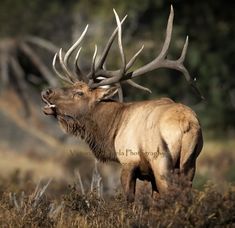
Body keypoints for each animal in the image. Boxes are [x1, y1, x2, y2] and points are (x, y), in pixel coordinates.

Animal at [42, 6, 204, 201]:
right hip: (190, 163)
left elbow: (129, 200)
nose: (47, 92)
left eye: (79, 92)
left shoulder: (129, 161)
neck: (112, 130)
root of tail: (187, 124)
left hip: (161, 161)